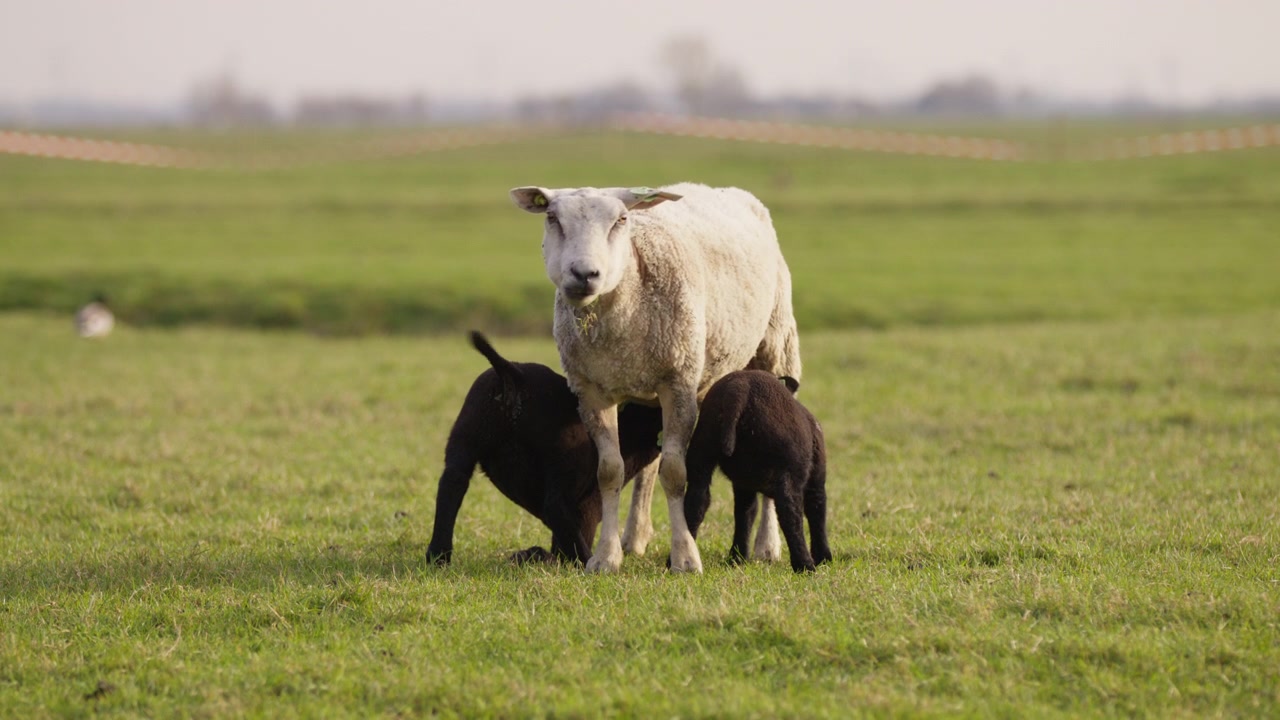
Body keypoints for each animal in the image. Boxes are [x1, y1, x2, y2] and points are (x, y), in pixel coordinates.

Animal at [426, 331, 663, 565]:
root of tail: (512, 375)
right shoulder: (588, 504)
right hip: (564, 461)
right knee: (554, 505)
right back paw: (584, 560)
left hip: (465, 438)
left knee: (452, 485)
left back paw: (438, 556)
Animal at [509, 182, 802, 573]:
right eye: (552, 218)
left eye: (621, 220)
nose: (584, 274)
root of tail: (724, 188)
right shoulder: (591, 392)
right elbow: (610, 472)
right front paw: (606, 557)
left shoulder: (678, 384)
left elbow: (675, 473)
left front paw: (685, 558)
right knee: (647, 466)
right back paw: (635, 537)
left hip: (775, 347)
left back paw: (767, 546)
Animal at [683, 370, 832, 572]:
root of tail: (738, 390)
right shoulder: (816, 479)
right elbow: (817, 511)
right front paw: (824, 557)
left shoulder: (744, 483)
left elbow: (746, 513)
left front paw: (738, 557)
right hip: (787, 466)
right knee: (790, 512)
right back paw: (804, 565)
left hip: (702, 449)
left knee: (696, 502)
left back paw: (684, 561)